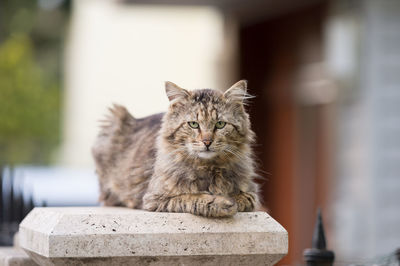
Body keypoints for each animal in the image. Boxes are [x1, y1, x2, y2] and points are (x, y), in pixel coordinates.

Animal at [93, 80, 260, 217]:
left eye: (220, 124)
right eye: (193, 124)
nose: (207, 142)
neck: (208, 168)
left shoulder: (252, 191)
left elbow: (246, 198)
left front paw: (232, 199)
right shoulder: (154, 199)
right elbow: (190, 197)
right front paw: (221, 203)